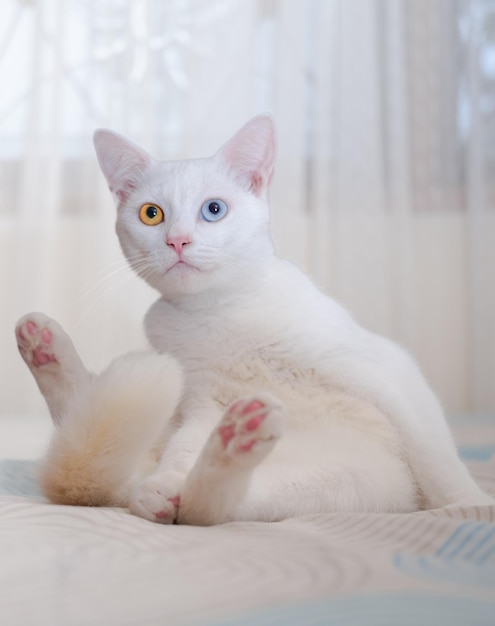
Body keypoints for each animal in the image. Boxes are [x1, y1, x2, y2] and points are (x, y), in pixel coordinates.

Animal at [15, 116, 492, 520]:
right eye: (152, 214)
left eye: (213, 209)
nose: (177, 241)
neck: (217, 312)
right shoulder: (200, 402)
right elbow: (185, 448)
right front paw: (170, 480)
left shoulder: (384, 367)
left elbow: (433, 451)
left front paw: (469, 505)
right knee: (193, 500)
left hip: (357, 479)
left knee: (214, 506)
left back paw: (229, 445)